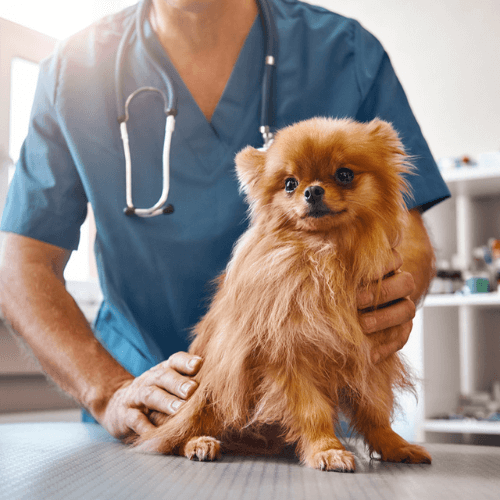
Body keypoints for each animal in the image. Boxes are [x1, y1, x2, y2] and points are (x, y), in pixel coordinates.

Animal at [134, 118, 434, 472]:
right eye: (290, 184)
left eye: (344, 174)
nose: (312, 190)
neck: (324, 254)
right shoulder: (287, 358)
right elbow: (312, 411)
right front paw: (326, 450)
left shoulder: (370, 357)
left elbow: (374, 411)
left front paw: (394, 445)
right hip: (209, 386)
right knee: (177, 433)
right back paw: (200, 443)